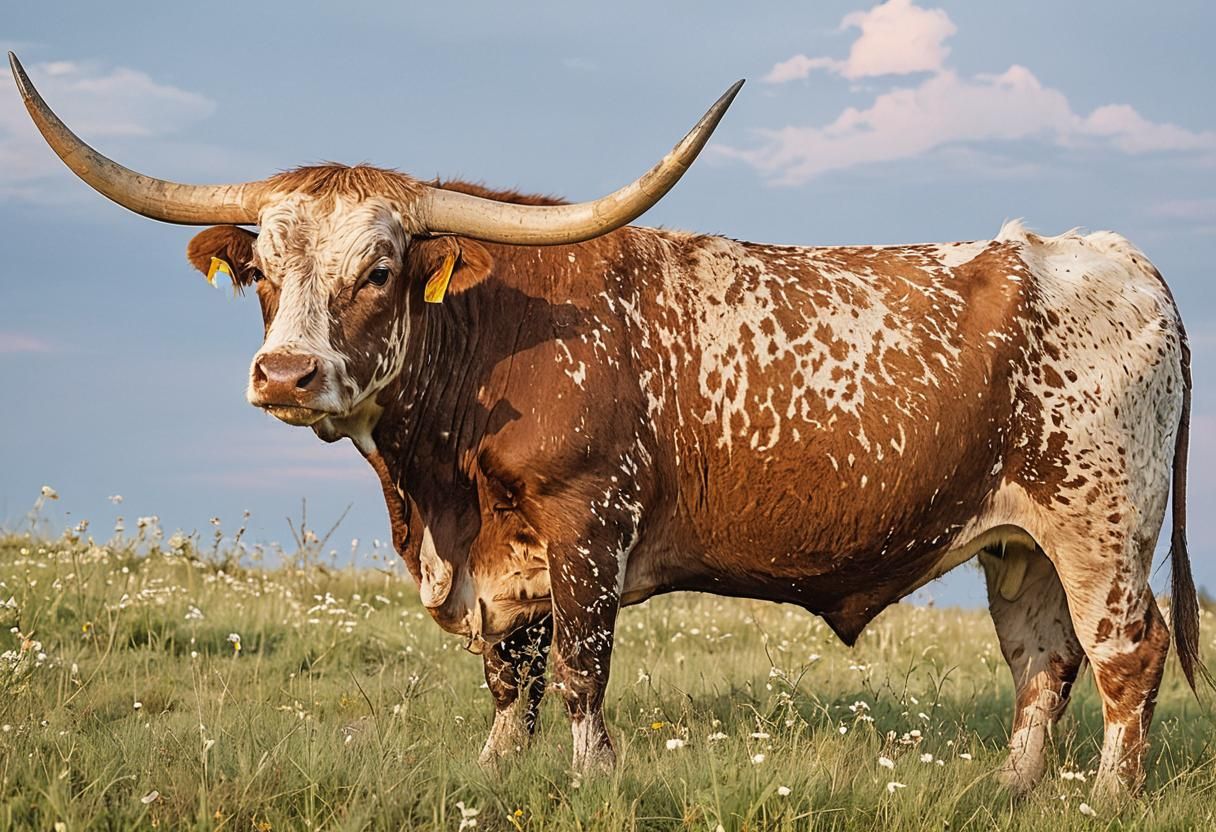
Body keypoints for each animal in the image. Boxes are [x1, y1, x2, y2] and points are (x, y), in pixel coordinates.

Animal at [11, 52, 1205, 798]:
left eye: (381, 268)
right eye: (261, 269)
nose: (285, 374)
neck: (434, 491)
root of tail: (1125, 262)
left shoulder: (588, 519)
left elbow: (581, 670)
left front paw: (591, 780)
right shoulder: (502, 564)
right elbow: (512, 681)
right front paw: (494, 775)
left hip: (1100, 526)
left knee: (1126, 656)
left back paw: (1109, 799)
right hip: (1017, 542)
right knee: (1043, 665)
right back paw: (1009, 789)